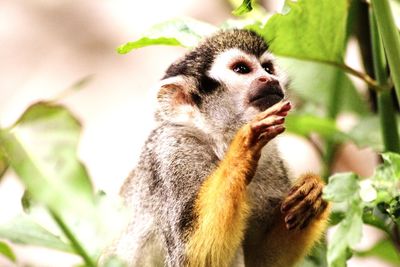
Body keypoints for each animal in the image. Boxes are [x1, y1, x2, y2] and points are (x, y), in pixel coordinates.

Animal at [105, 29, 328, 267]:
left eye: (268, 68)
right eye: (242, 69)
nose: (270, 79)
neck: (218, 142)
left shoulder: (272, 161)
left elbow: (260, 259)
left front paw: (313, 189)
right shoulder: (172, 154)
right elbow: (190, 256)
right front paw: (243, 147)